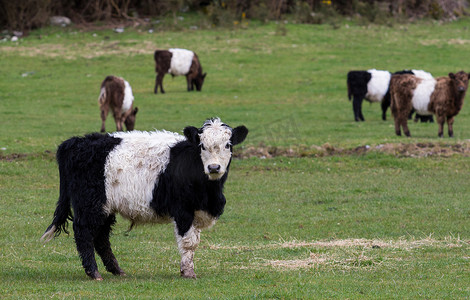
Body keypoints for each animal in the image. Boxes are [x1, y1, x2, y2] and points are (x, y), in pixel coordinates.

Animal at [41, 118, 250, 282]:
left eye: (228, 145)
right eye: (202, 146)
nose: (214, 167)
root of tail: (76, 142)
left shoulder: (197, 211)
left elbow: (194, 242)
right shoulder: (183, 211)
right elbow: (188, 242)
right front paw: (188, 272)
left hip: (106, 208)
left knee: (101, 237)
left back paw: (116, 270)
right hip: (90, 204)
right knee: (83, 233)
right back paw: (94, 272)